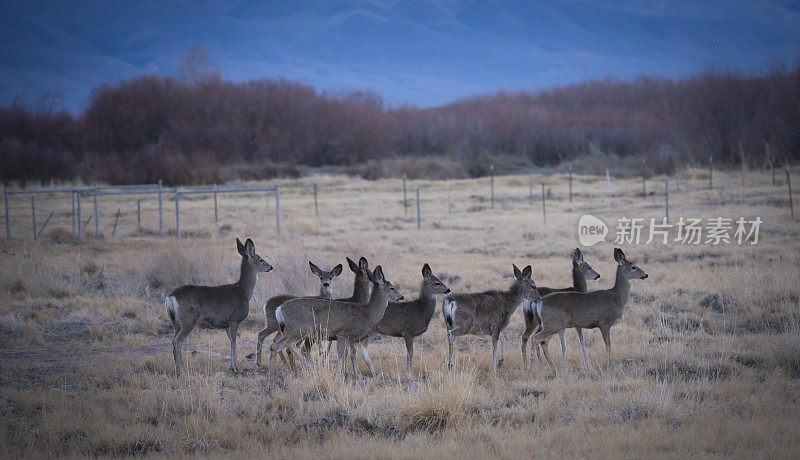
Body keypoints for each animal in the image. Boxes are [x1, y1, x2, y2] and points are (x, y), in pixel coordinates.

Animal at [164, 239, 274, 376]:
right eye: (260, 259)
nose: (271, 267)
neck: (243, 290)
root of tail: (170, 297)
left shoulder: (226, 324)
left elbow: (230, 341)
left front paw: (232, 366)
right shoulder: (234, 319)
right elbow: (234, 343)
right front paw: (235, 368)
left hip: (175, 322)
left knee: (173, 341)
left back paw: (177, 370)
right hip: (188, 320)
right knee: (177, 341)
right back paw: (182, 371)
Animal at [268, 264, 404, 380]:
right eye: (392, 288)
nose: (401, 296)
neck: (367, 314)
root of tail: (280, 309)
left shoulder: (355, 340)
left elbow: (367, 359)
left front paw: (374, 376)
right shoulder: (342, 334)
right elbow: (341, 358)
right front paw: (339, 377)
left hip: (292, 331)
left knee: (277, 346)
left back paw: (273, 374)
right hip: (299, 328)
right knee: (285, 346)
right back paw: (306, 368)